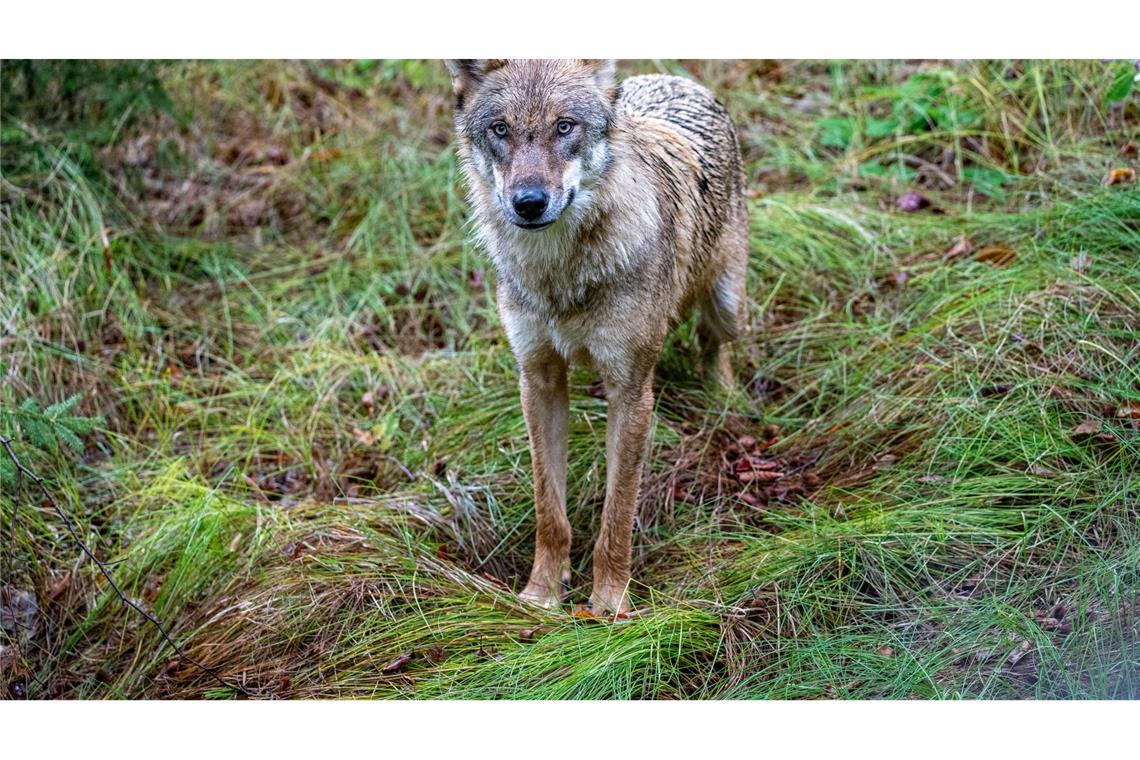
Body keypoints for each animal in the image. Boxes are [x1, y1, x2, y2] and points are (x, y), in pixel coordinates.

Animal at [446, 59, 749, 614]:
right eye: (500, 130)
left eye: (564, 126)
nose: (528, 202)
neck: (560, 277)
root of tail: (674, 79)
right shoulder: (538, 379)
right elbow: (550, 509)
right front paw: (541, 594)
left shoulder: (630, 392)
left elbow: (617, 514)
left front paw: (609, 606)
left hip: (727, 306)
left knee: (713, 343)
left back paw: (725, 398)